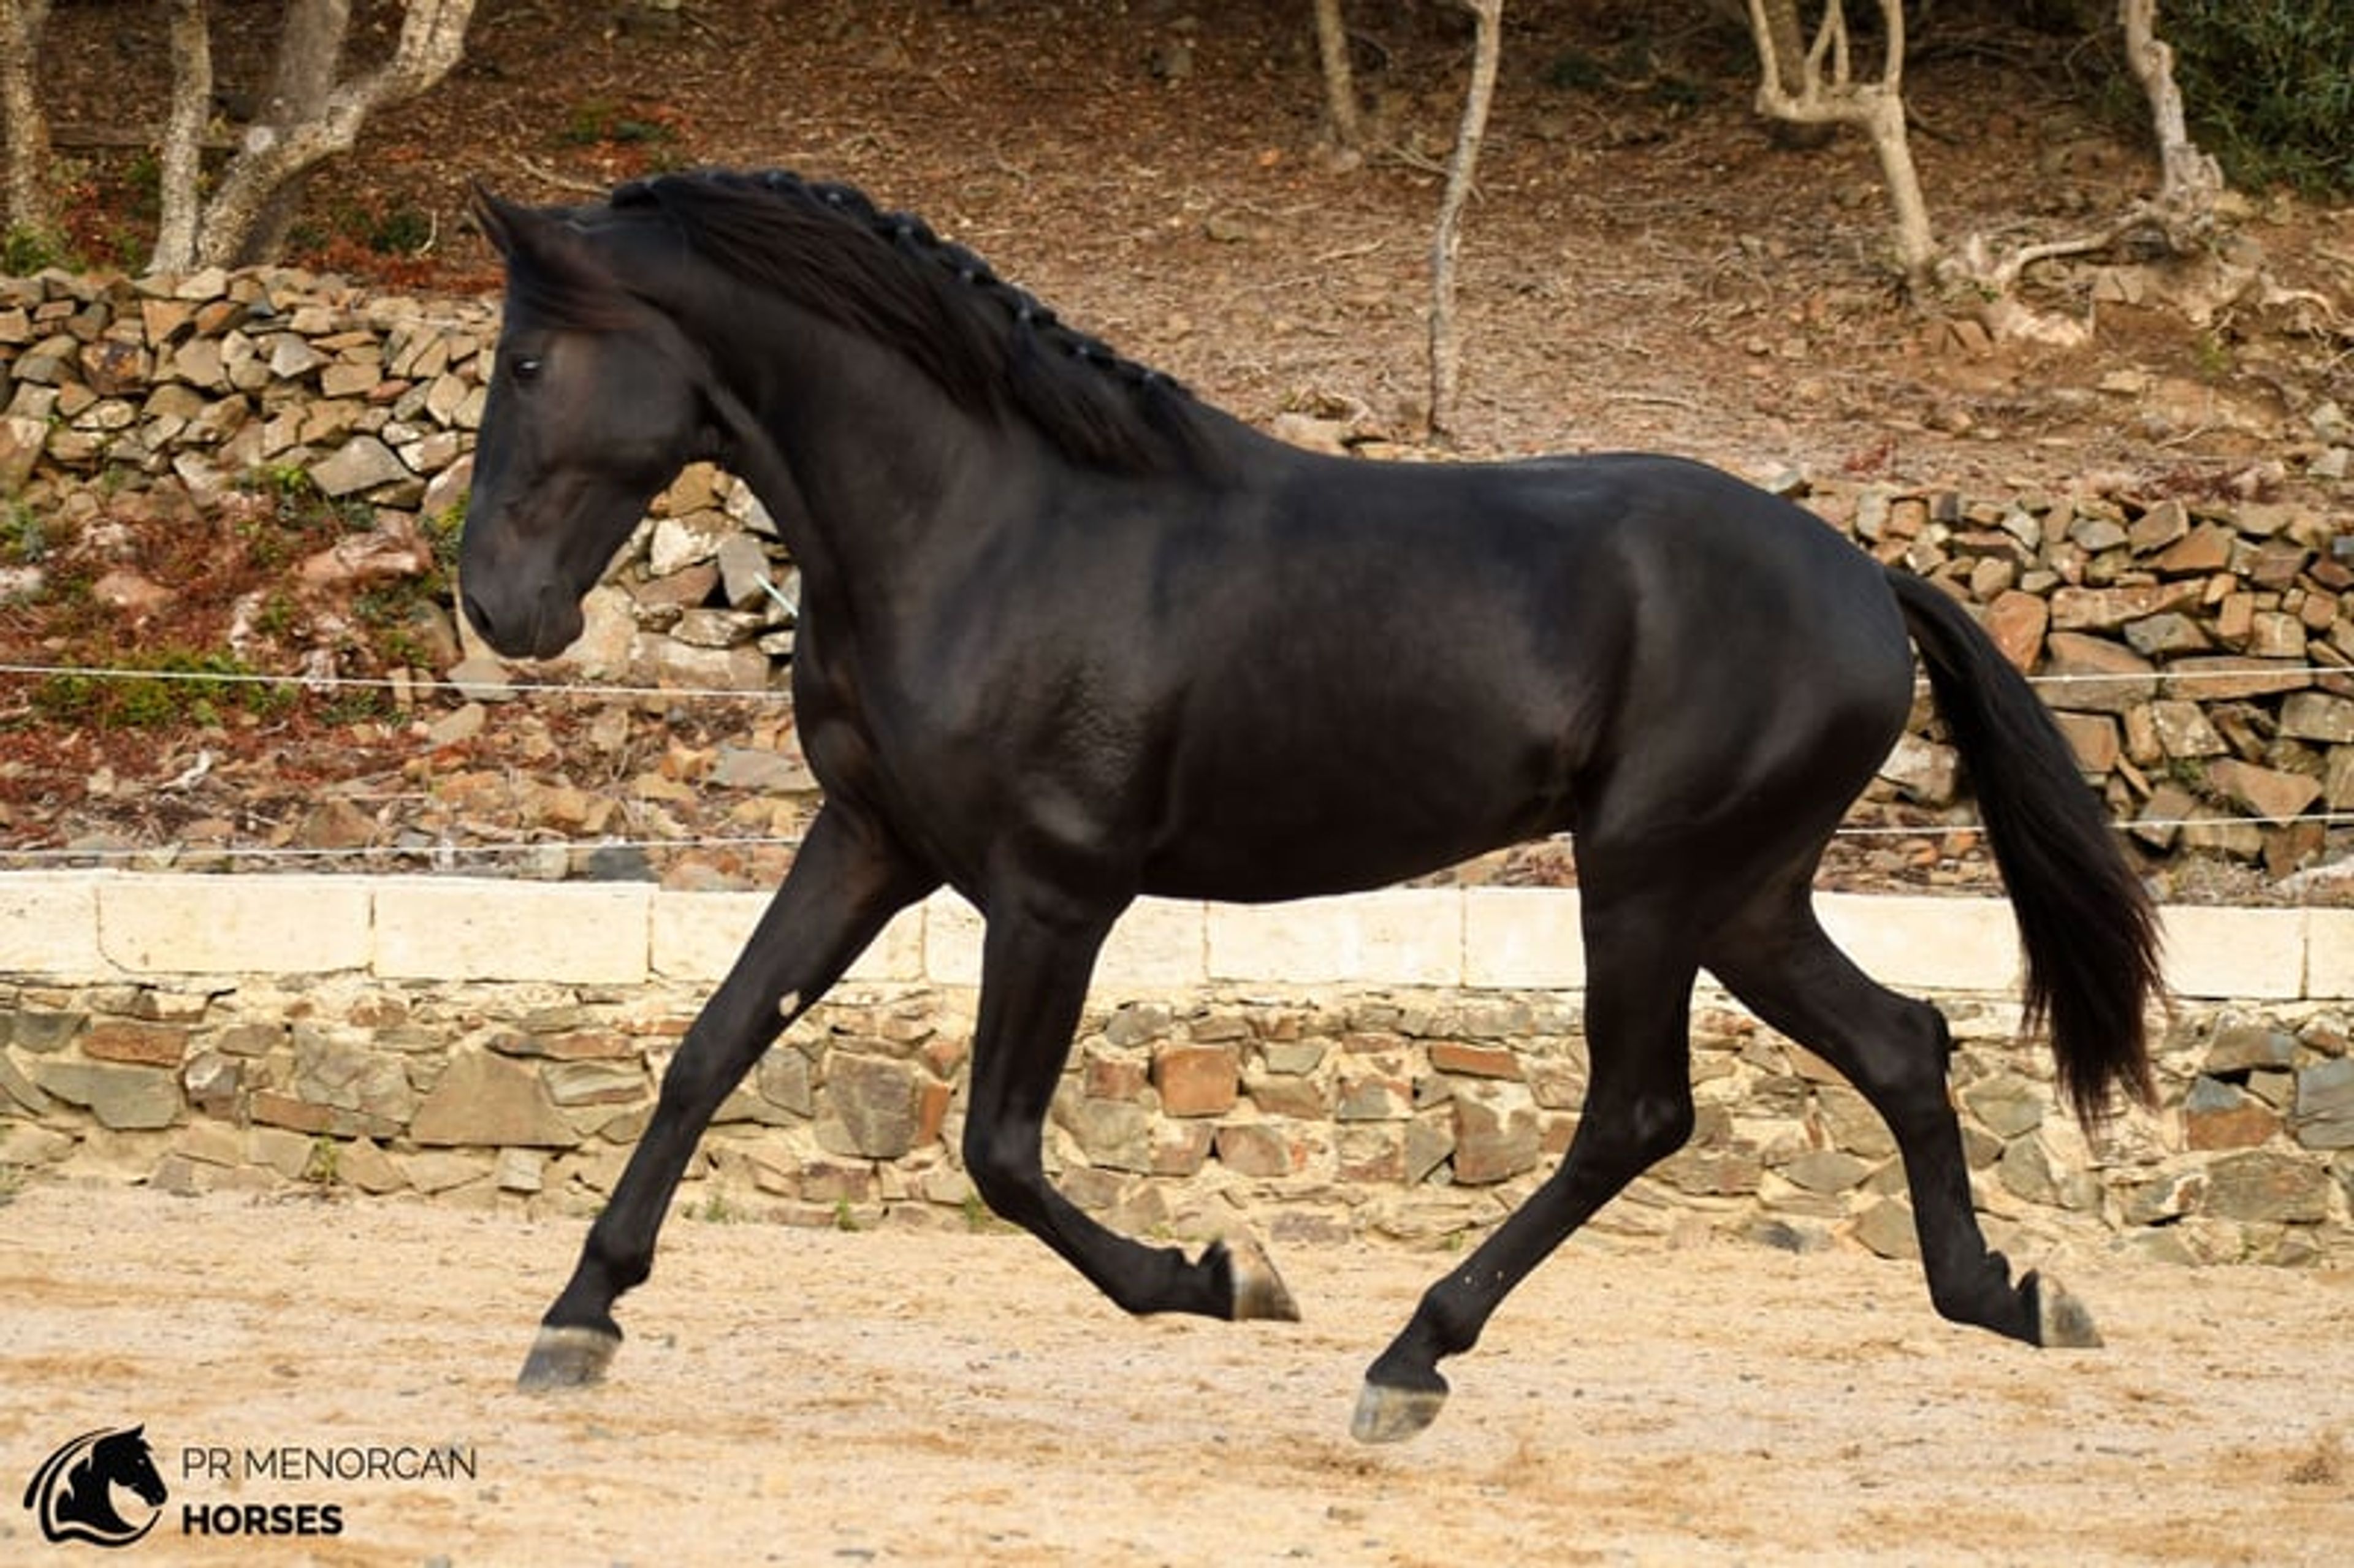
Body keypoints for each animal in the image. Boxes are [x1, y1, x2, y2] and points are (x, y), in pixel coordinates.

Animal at [457, 169, 2162, 1443]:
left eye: (528, 361)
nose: (496, 607)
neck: (987, 524)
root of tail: (1866, 581)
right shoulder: (873, 844)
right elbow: (709, 1050)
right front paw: (578, 1315)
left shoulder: (1055, 889)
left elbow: (1000, 1151)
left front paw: (1223, 1274)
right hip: (1742, 896)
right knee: (1902, 1045)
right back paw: (2012, 1296)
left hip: (1650, 880)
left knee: (1640, 1111)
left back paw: (1410, 1356)